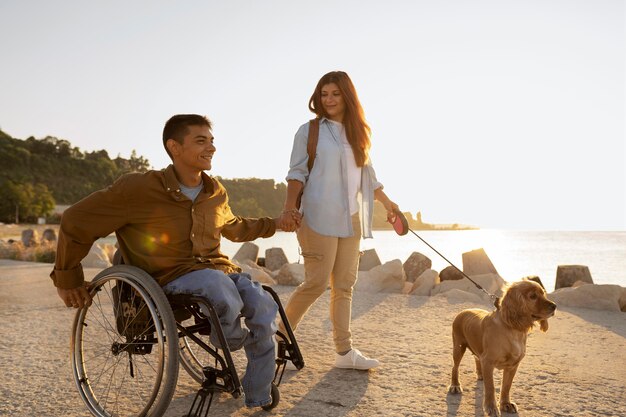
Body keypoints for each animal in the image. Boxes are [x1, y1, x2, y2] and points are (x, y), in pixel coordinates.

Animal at [446, 278, 552, 414]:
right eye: (532, 296)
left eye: (543, 293)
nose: (554, 306)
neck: (514, 330)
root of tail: (464, 310)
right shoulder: (488, 361)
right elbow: (490, 387)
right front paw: (491, 408)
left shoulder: (513, 365)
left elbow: (506, 386)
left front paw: (506, 404)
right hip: (458, 347)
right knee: (455, 367)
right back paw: (455, 385)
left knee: (477, 358)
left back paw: (480, 374)